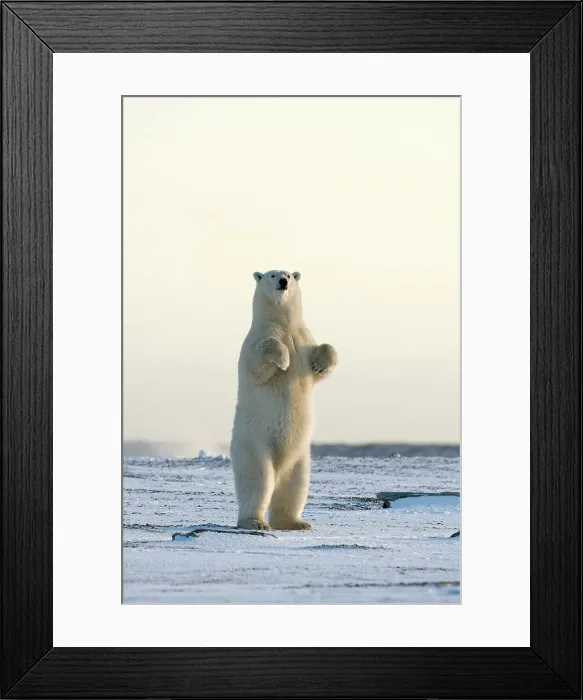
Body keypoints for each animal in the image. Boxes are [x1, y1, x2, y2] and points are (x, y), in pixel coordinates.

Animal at [230, 269, 337, 531]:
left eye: (288, 274)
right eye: (271, 275)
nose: (283, 281)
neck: (283, 324)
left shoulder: (303, 338)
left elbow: (320, 362)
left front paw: (321, 364)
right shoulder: (254, 341)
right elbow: (258, 364)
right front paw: (284, 359)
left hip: (301, 457)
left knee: (295, 485)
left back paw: (295, 522)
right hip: (253, 444)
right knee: (257, 480)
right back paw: (254, 522)